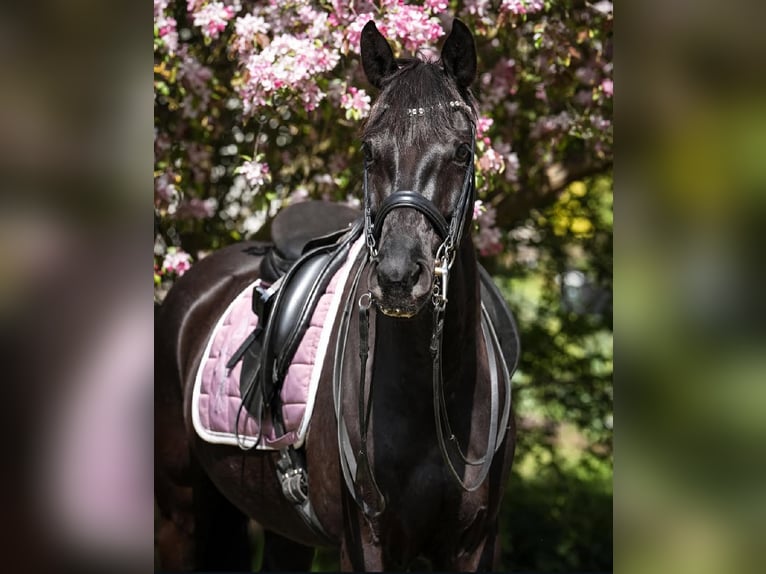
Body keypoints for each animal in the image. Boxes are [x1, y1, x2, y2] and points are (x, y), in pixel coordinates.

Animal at [155, 19, 518, 571]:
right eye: (369, 150)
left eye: (461, 150)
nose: (398, 275)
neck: (433, 396)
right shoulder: (365, 544)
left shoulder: (475, 544)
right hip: (180, 515)